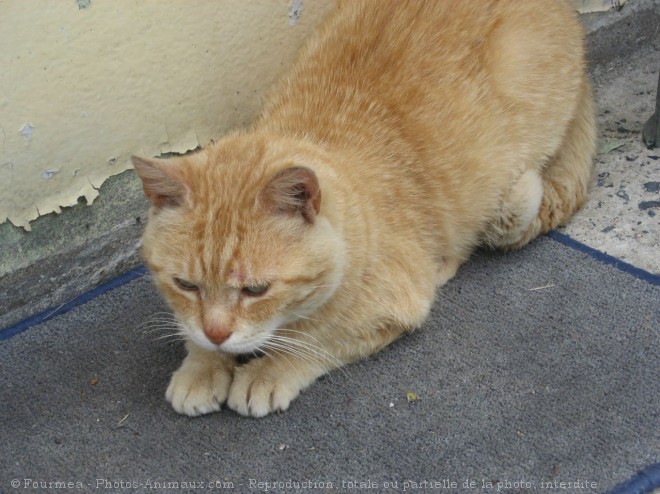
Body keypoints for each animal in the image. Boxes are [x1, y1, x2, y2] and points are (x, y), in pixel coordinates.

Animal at [131, 0, 596, 416]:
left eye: (256, 290)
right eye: (185, 285)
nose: (217, 333)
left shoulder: (390, 304)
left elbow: (318, 338)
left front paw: (269, 370)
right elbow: (193, 332)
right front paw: (203, 364)